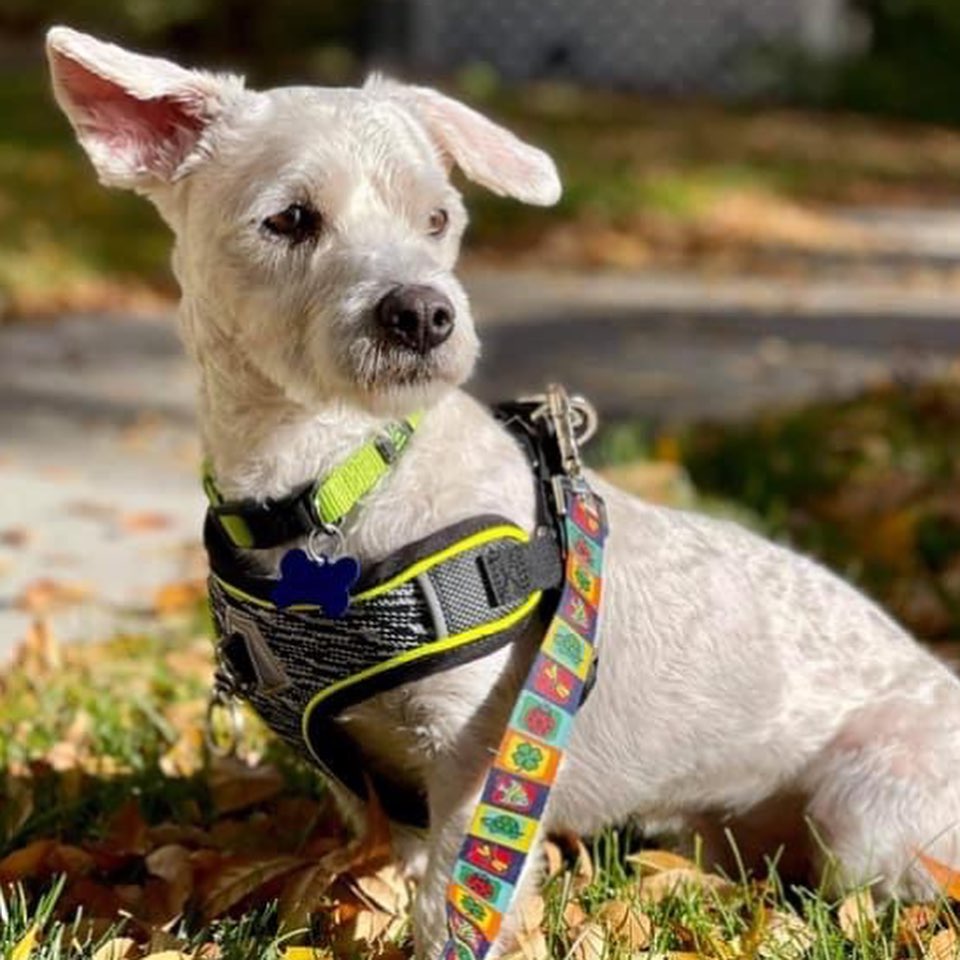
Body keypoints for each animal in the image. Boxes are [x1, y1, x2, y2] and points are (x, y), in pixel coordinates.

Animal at [48, 26, 960, 956]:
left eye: (438, 220)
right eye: (290, 218)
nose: (423, 313)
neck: (338, 479)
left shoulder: (476, 751)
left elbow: (455, 901)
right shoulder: (381, 794)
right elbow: (396, 880)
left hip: (867, 819)